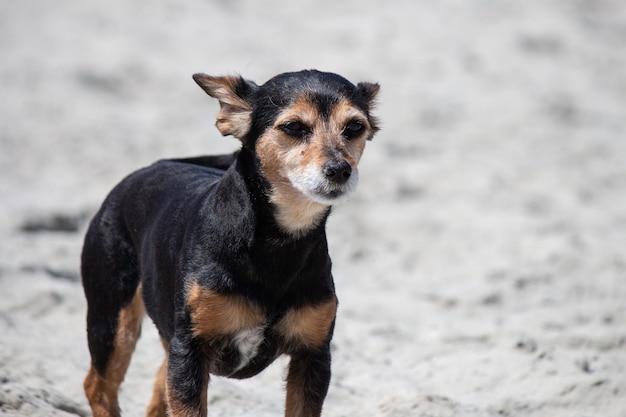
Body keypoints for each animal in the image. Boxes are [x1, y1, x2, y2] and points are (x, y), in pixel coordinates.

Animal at [80, 70, 378, 414]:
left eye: (355, 127)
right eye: (293, 127)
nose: (340, 170)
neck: (276, 242)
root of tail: (148, 169)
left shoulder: (313, 356)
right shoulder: (191, 351)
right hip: (112, 321)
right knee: (98, 385)